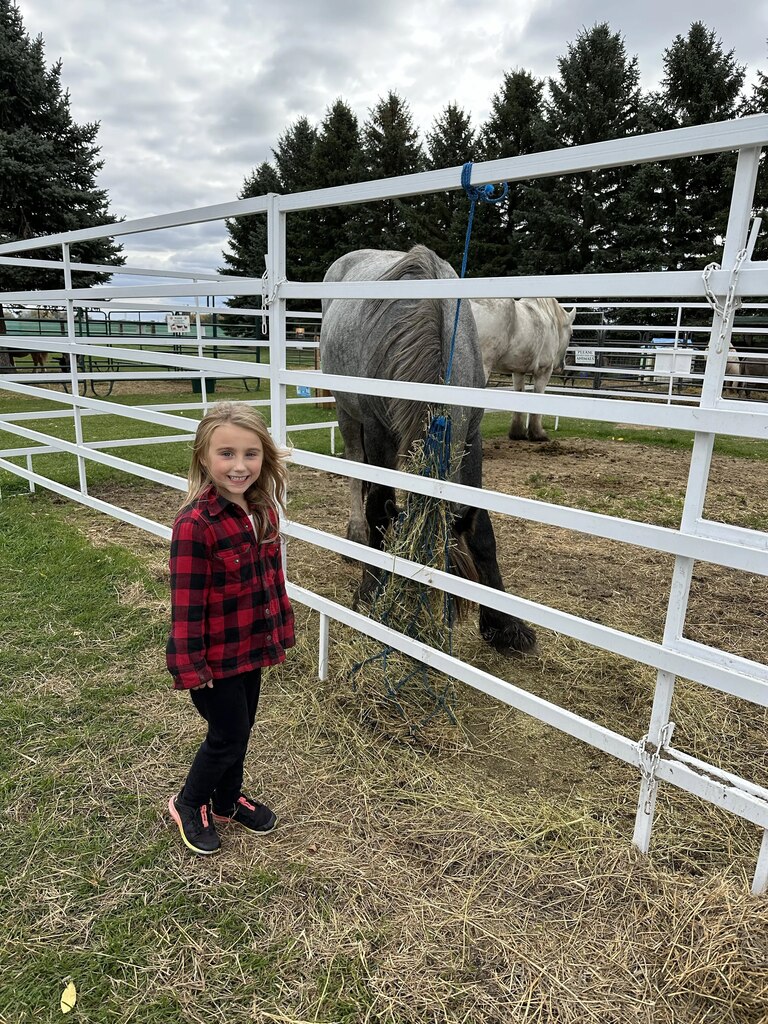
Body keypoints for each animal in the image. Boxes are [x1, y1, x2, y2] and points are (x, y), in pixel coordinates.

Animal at [319, 245, 536, 656]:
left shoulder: (472, 435)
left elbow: (482, 527)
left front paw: (504, 625)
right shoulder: (378, 432)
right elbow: (379, 508)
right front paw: (370, 591)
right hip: (347, 413)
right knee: (356, 472)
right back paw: (355, 534)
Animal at [470, 298, 576, 442]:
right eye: (571, 333)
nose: (562, 366)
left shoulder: (518, 372)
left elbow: (519, 395)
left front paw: (518, 433)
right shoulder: (543, 371)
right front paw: (538, 434)